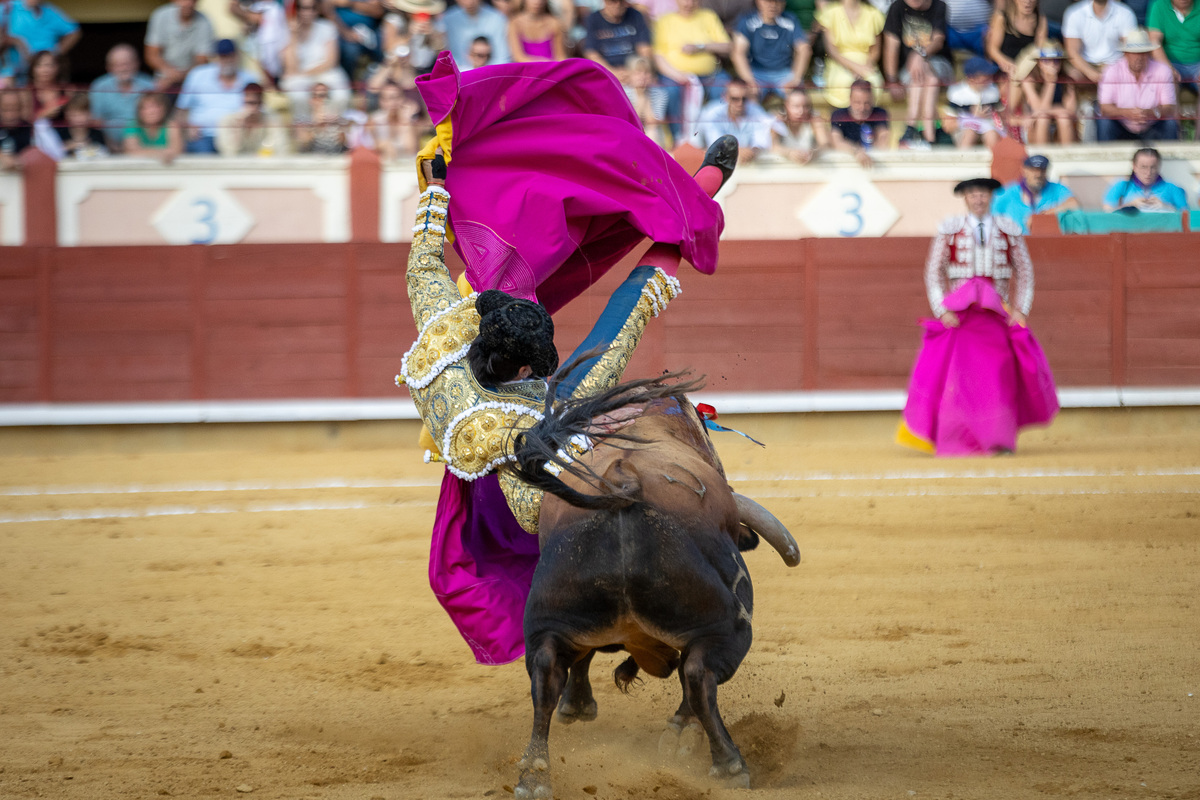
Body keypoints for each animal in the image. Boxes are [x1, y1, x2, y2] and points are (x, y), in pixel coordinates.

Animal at [501, 376, 801, 800]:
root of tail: (625, 480)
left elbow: (581, 659)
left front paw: (576, 706)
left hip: (549, 617)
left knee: (546, 675)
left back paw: (534, 775)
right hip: (727, 627)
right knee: (698, 676)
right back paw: (727, 763)